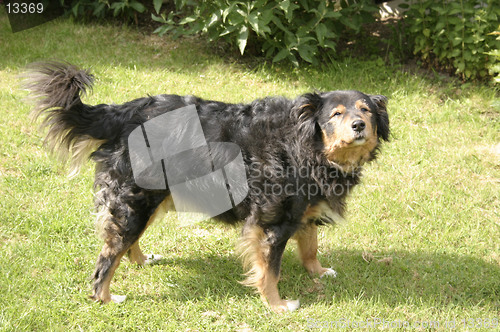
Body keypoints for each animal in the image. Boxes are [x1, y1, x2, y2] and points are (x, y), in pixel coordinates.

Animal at [24, 61, 390, 312]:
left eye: (366, 110)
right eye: (336, 114)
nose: (359, 125)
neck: (306, 143)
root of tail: (121, 112)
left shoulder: (303, 210)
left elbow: (310, 245)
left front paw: (318, 271)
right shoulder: (271, 221)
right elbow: (269, 270)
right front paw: (277, 305)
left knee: (124, 243)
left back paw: (141, 260)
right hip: (136, 200)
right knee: (108, 255)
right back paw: (105, 297)